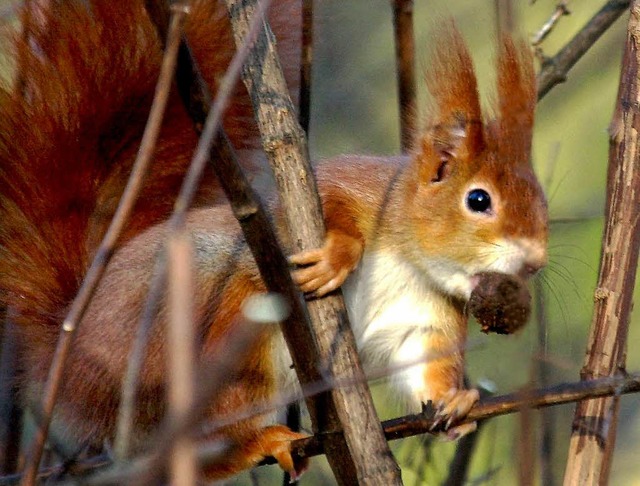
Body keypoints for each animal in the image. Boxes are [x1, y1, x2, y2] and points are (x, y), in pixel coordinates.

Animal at [0, 0, 548, 480]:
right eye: (478, 200)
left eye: (541, 200)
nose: (537, 260)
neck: (412, 262)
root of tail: (68, 356)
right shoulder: (348, 190)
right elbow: (327, 203)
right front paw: (337, 255)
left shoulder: (425, 314)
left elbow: (426, 362)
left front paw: (458, 401)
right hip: (220, 336)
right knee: (210, 436)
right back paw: (258, 442)